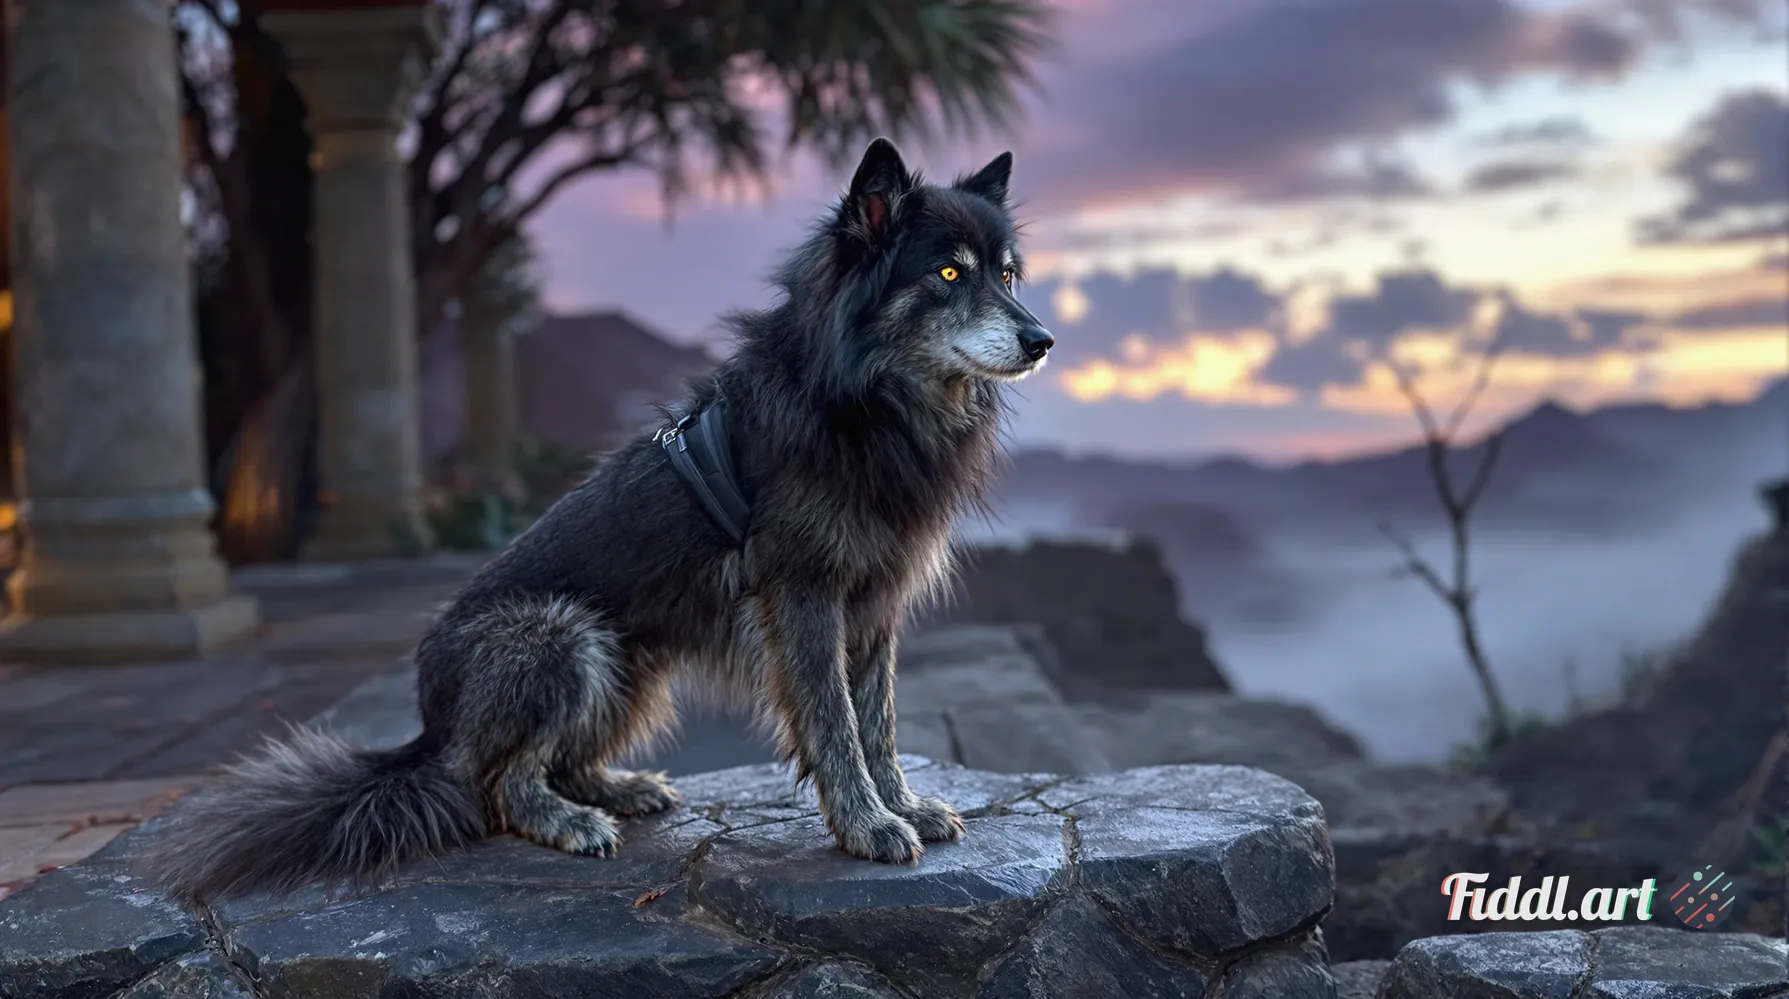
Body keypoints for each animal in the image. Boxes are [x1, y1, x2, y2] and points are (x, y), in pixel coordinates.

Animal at [142, 137, 1056, 902]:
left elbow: (879, 719)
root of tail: (429, 726)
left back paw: (619, 786)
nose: (1043, 339)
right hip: (563, 635)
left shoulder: (872, 603)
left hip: (633, 666)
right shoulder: (803, 597)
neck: (866, 399)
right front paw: (866, 824)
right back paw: (569, 821)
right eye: (948, 275)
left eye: (1007, 274)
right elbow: (834, 721)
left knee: (558, 758)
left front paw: (903, 803)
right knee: (499, 781)